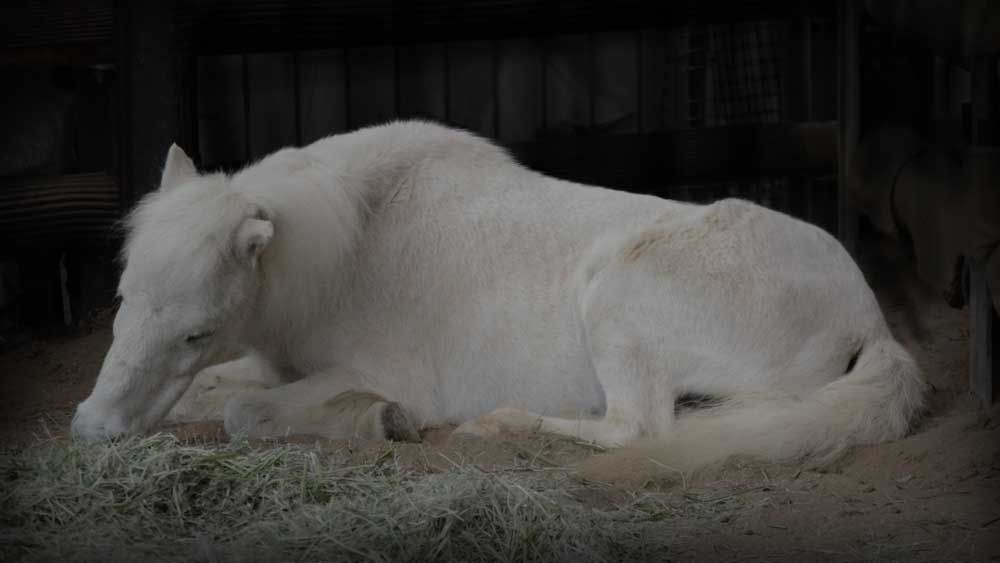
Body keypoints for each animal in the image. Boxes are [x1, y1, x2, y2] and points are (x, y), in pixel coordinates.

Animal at [72, 120, 925, 471]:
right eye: (123, 294)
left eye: (194, 330)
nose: (91, 428)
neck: (349, 250)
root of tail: (869, 319)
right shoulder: (272, 361)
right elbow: (212, 393)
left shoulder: (379, 371)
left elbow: (245, 412)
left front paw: (383, 421)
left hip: (614, 295)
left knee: (636, 427)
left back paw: (495, 425)